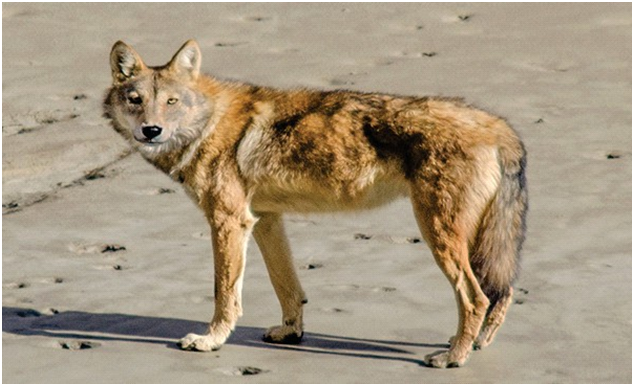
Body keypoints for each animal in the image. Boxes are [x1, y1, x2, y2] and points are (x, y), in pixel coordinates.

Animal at [103, 40, 524, 368]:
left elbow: (225, 293)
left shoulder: (229, 221)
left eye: (171, 101)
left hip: (439, 235)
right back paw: (472, 344)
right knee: (502, 292)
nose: (151, 130)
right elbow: (287, 286)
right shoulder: (265, 220)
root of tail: (497, 124)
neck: (209, 122)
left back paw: (453, 357)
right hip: (472, 239)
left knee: (476, 297)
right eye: (136, 101)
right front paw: (291, 333)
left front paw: (211, 340)